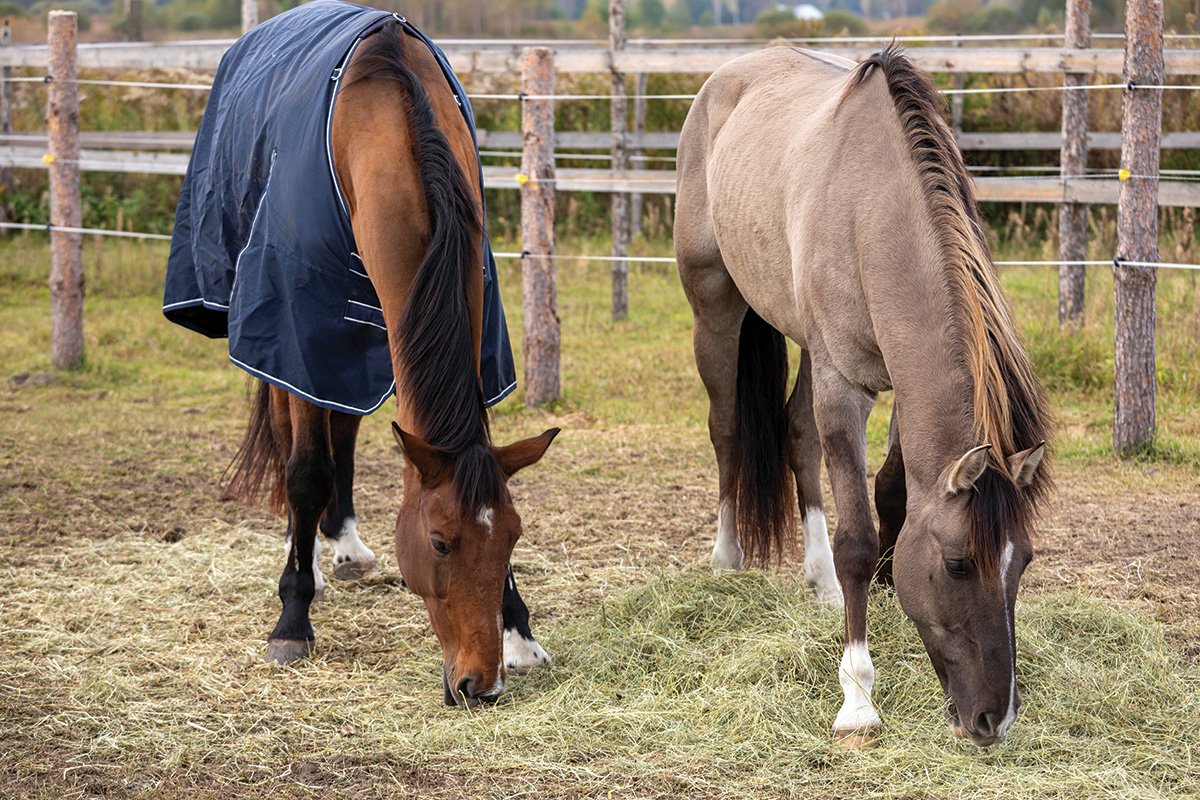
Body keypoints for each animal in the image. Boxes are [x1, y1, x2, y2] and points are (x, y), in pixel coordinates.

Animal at [165, 1, 556, 705]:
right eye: (440, 543)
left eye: (512, 541)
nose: (479, 684)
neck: (391, 125)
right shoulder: (299, 325)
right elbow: (305, 472)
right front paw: (292, 619)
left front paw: (519, 632)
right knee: (298, 439)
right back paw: (311, 565)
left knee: (343, 419)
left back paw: (342, 544)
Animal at [676, 47, 1051, 748]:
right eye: (957, 565)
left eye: (1025, 563)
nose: (995, 719)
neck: (874, 211)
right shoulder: (844, 386)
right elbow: (856, 534)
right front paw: (857, 697)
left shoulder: (898, 384)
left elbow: (894, 495)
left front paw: (882, 589)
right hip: (716, 310)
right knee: (727, 430)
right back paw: (726, 557)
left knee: (796, 437)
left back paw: (820, 580)